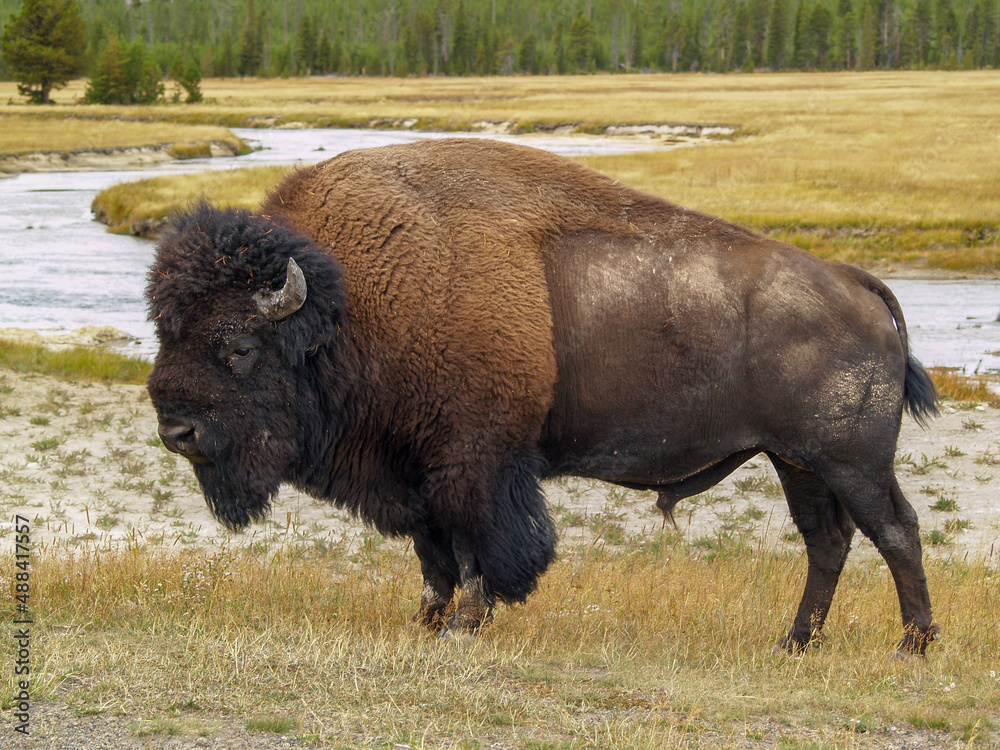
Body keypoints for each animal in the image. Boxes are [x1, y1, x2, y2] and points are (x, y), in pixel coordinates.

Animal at [145, 138, 940, 656]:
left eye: (238, 347)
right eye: (165, 330)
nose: (176, 431)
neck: (349, 305)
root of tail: (853, 280)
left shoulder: (475, 463)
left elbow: (476, 550)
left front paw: (464, 626)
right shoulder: (419, 471)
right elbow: (433, 554)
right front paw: (426, 622)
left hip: (851, 460)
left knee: (893, 530)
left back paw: (912, 645)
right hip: (796, 460)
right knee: (827, 540)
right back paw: (795, 643)